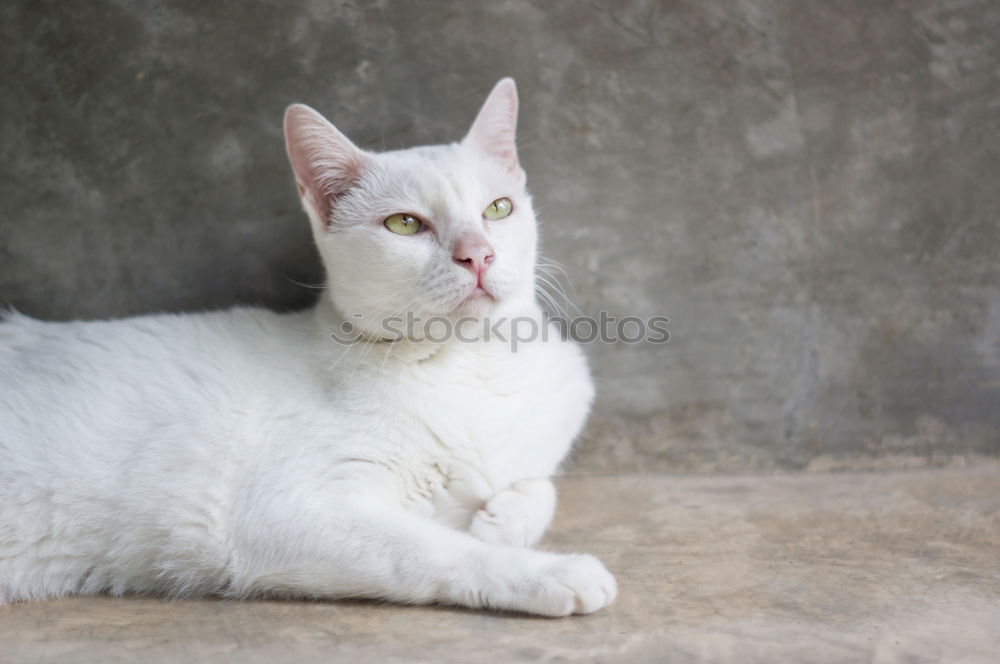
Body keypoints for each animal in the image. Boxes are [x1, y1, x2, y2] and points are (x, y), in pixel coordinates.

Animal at [0, 79, 612, 616]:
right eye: (404, 224)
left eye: (498, 210)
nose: (478, 254)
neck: (469, 369)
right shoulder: (287, 518)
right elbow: (441, 551)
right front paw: (550, 570)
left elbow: (539, 487)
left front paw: (505, 517)